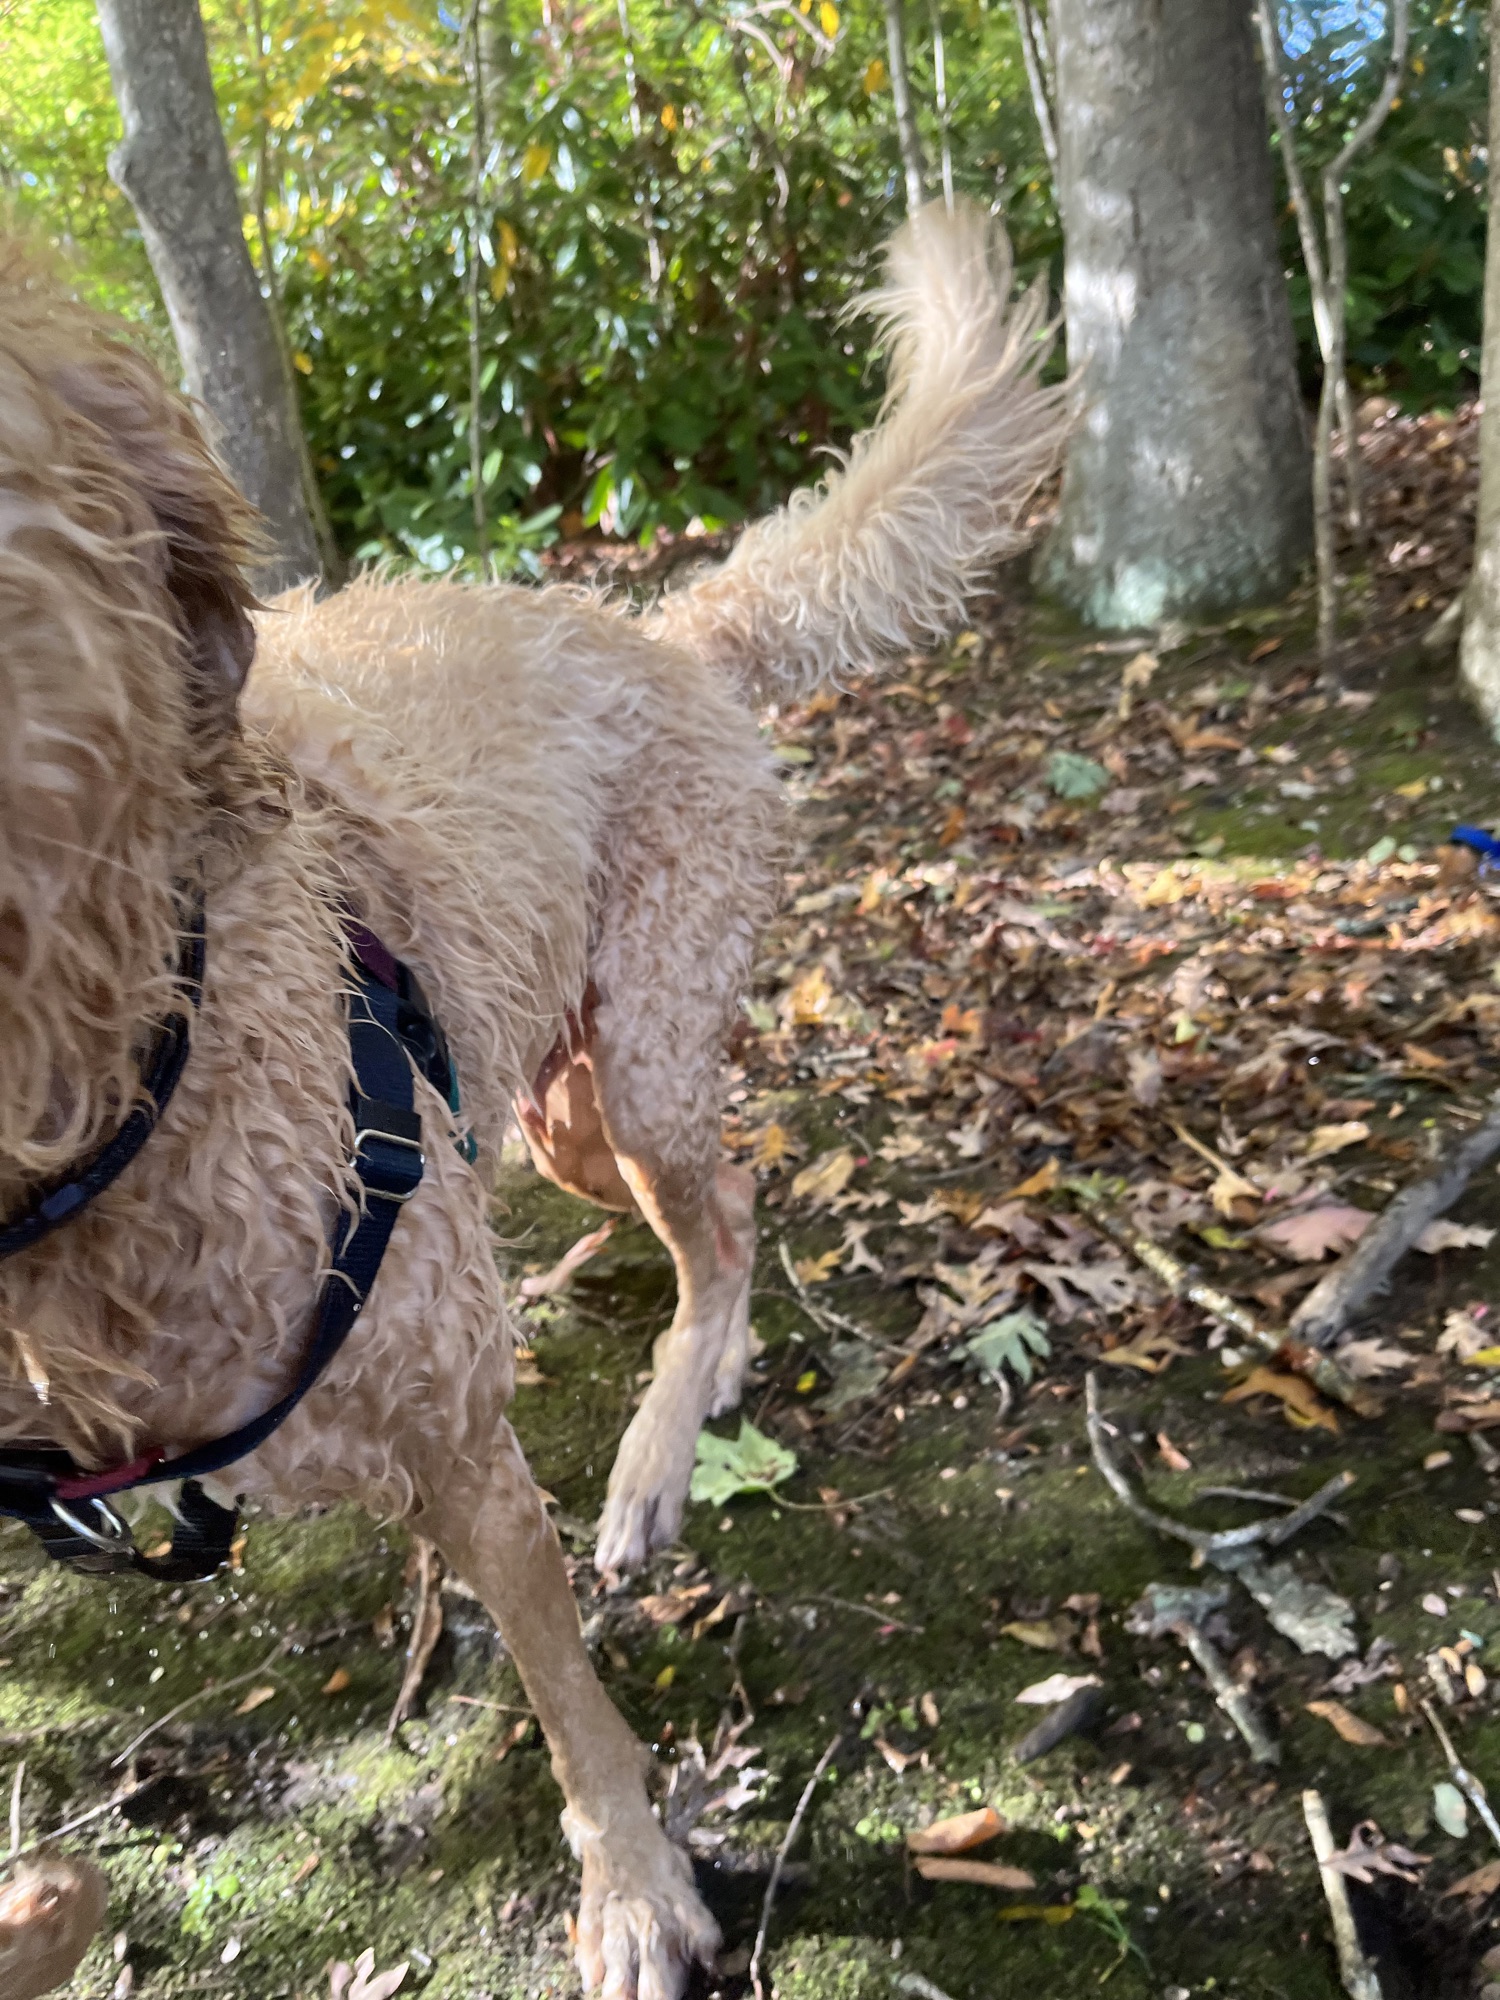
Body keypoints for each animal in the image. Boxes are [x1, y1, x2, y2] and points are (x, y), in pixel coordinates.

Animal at [0, 200, 1064, 1997]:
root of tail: (665, 629)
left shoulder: (467, 1450)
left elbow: (569, 1703)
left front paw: (631, 1889)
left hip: (637, 1056)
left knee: (725, 1218)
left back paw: (653, 1456)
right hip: (552, 1109)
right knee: (717, 1222)